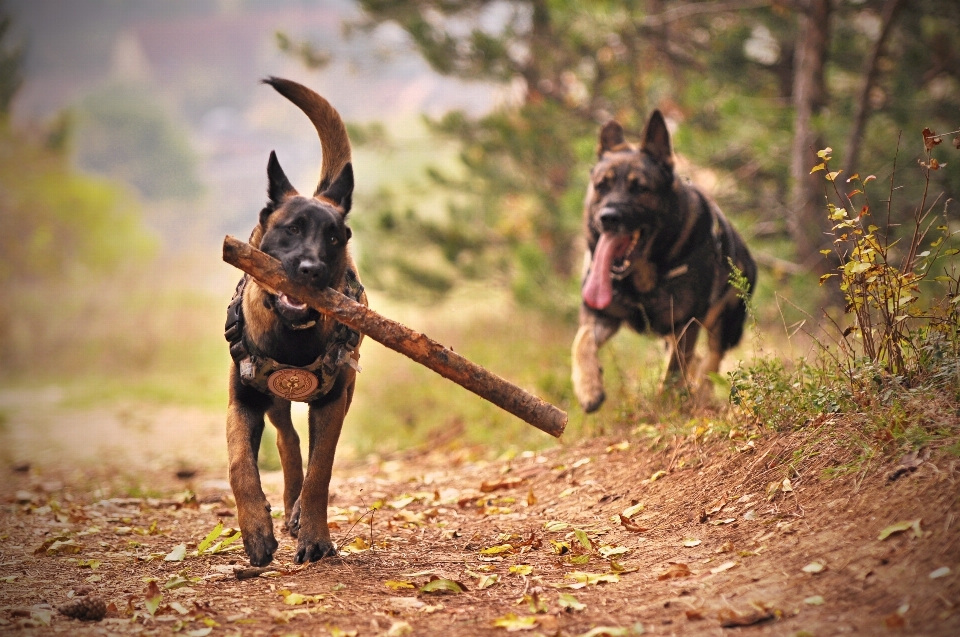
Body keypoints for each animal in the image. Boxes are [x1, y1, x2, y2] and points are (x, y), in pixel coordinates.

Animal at [223, 79, 366, 568]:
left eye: (334, 237)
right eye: (291, 229)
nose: (311, 270)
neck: (291, 336)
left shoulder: (333, 402)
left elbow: (321, 471)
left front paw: (316, 536)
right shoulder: (243, 399)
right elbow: (240, 465)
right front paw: (255, 531)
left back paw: (299, 513)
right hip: (272, 400)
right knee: (287, 440)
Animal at [568, 112, 756, 412]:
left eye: (640, 188)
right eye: (601, 187)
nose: (607, 217)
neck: (641, 277)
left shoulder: (685, 325)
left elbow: (672, 374)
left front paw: (666, 406)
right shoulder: (600, 315)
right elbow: (581, 341)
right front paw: (588, 387)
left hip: (724, 326)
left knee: (710, 362)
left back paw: (700, 394)